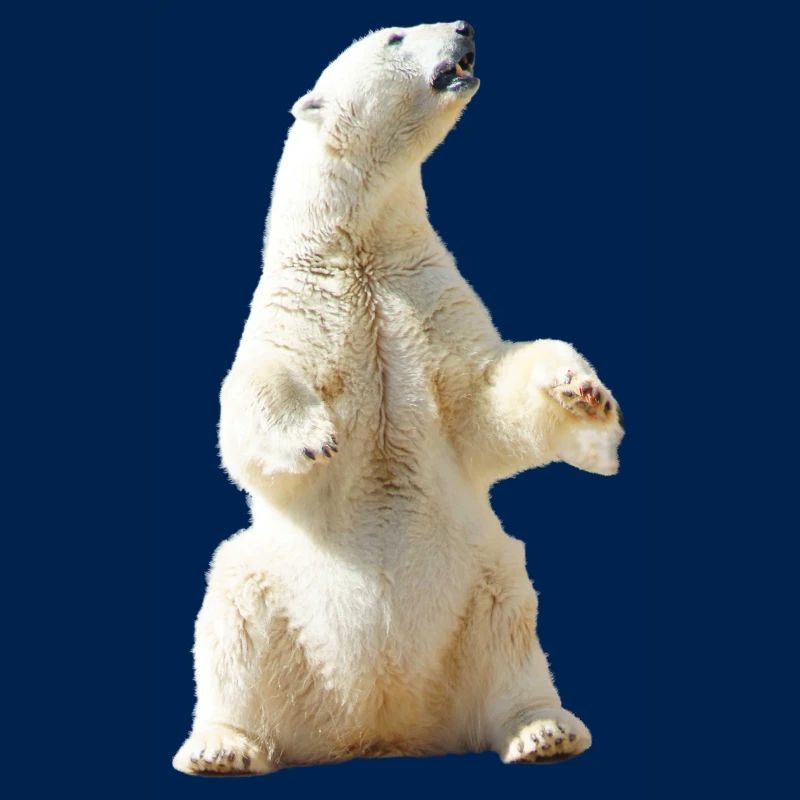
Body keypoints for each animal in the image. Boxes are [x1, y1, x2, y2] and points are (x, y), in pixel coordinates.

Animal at [172, 20, 624, 776]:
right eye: (394, 36)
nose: (465, 25)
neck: (360, 246)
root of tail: (381, 725)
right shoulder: (303, 307)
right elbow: (254, 395)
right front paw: (312, 437)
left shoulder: (426, 296)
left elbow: (482, 399)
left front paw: (582, 393)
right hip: (274, 597)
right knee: (230, 607)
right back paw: (222, 746)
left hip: (480, 588)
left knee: (513, 625)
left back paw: (542, 731)